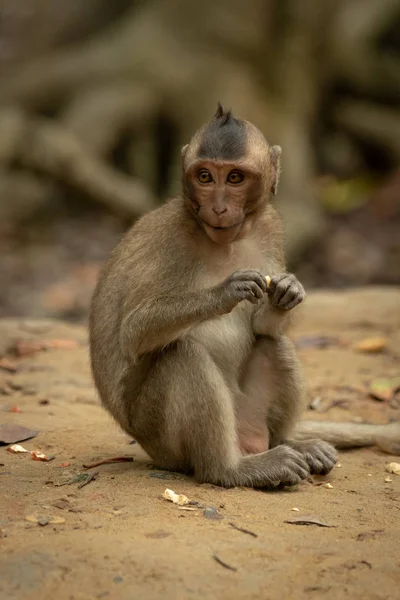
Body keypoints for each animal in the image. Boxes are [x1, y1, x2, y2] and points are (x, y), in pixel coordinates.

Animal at [90, 104, 400, 488]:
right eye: (205, 177)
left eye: (235, 178)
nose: (219, 207)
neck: (222, 239)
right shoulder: (168, 239)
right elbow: (134, 333)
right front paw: (225, 291)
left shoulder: (271, 226)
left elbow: (264, 325)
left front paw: (287, 292)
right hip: (159, 438)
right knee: (181, 353)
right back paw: (230, 469)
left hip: (248, 414)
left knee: (273, 343)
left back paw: (290, 443)